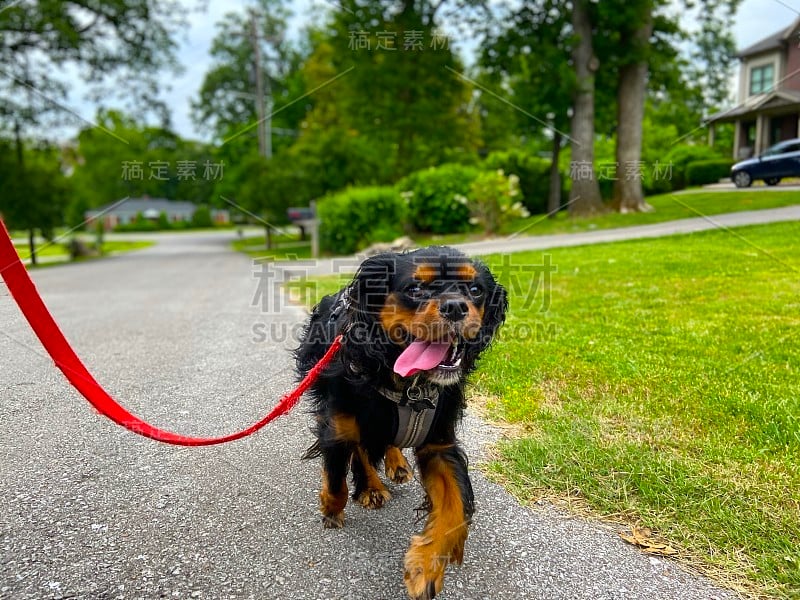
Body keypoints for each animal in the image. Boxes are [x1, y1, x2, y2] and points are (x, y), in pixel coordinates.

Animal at [294, 246, 506, 596]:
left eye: (476, 290)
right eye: (415, 289)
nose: (455, 306)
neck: (408, 383)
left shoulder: (439, 443)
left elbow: (456, 509)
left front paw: (426, 567)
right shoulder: (338, 425)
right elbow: (338, 479)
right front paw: (330, 507)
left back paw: (395, 466)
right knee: (363, 448)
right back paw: (372, 487)